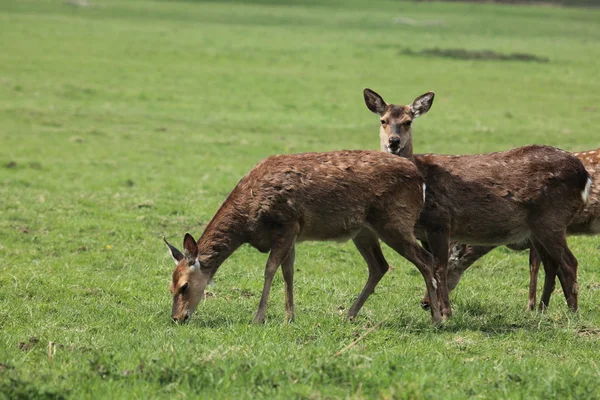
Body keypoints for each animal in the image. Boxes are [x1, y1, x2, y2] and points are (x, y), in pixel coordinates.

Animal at [164, 150, 446, 324]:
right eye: (170, 286)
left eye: (184, 286)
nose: (177, 318)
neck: (247, 221)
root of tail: (420, 180)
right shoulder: (293, 234)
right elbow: (288, 272)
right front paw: (290, 317)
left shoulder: (287, 224)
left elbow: (269, 269)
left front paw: (259, 318)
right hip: (364, 231)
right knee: (380, 266)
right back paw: (349, 315)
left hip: (395, 222)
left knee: (426, 259)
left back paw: (436, 317)